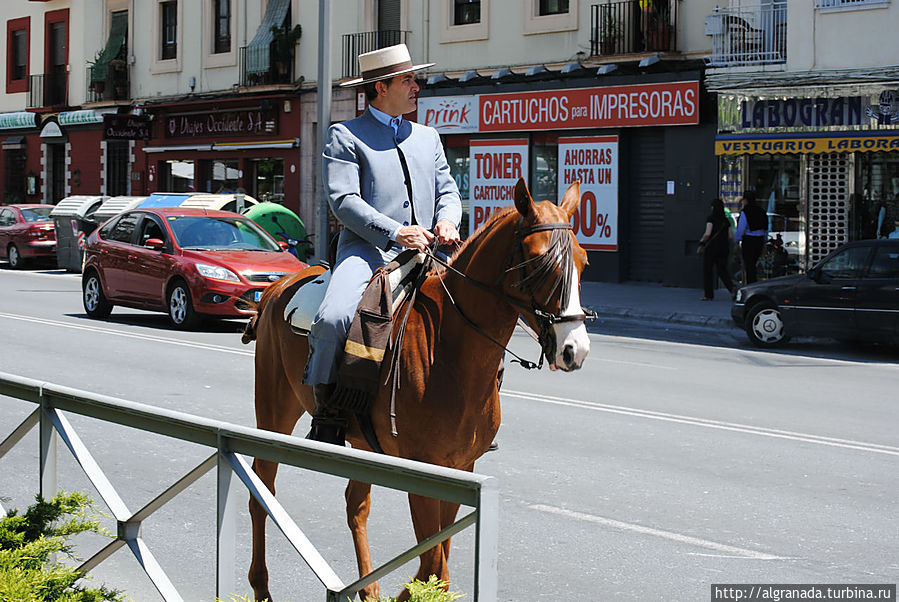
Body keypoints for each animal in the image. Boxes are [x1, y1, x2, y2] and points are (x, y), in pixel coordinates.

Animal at [248, 178, 592, 600]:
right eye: (539, 261)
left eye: (583, 261)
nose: (575, 349)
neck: (449, 349)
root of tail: (275, 289)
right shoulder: (424, 473)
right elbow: (434, 567)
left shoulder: (461, 468)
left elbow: (435, 567)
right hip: (274, 411)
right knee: (261, 488)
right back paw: (261, 586)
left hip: (361, 441)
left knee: (355, 506)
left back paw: (368, 589)